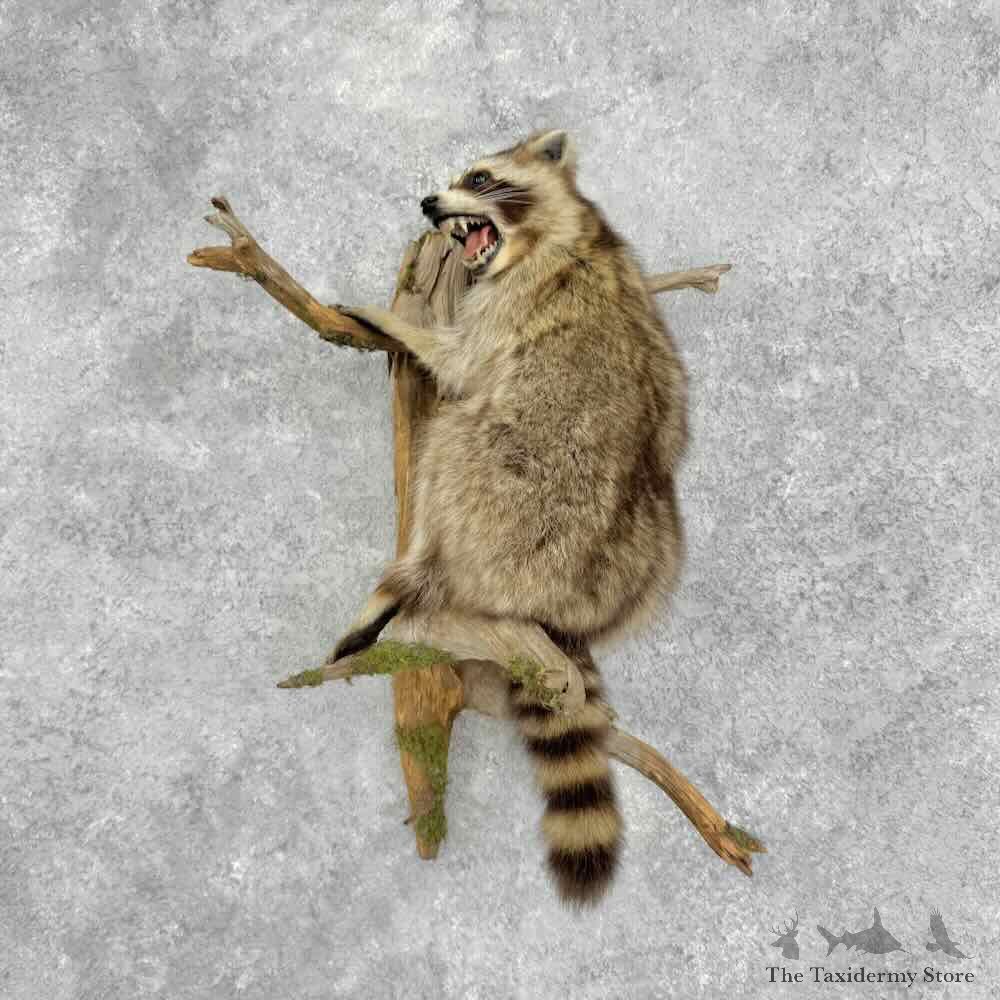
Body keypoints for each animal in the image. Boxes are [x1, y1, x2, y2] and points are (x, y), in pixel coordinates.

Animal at [333, 129, 687, 904]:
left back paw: (403, 580)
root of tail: (560, 601)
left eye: (479, 178)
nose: (428, 202)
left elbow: (463, 363)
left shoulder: (517, 302)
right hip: (650, 553)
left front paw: (394, 320)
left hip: (509, 492)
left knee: (452, 439)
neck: (564, 232)